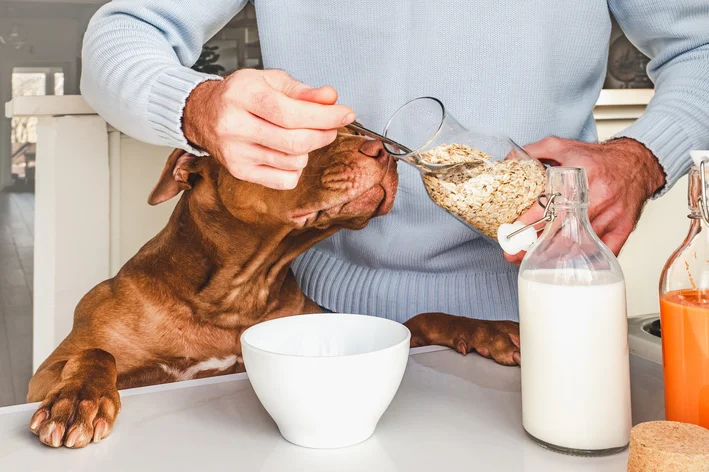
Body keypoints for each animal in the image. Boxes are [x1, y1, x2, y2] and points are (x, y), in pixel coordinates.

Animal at [26, 131, 520, 448]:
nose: (386, 152)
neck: (235, 296)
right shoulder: (44, 376)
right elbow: (95, 353)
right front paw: (78, 400)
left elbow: (421, 317)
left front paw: (491, 330)